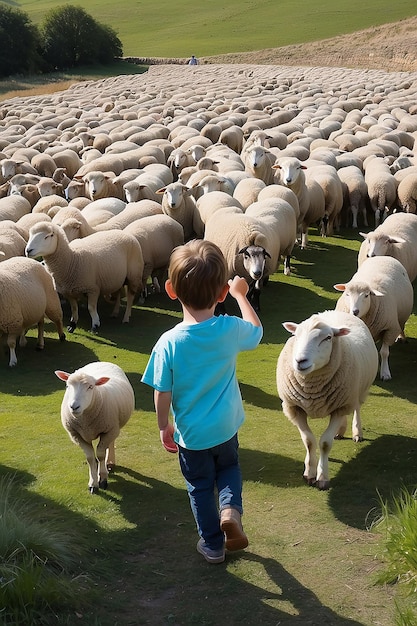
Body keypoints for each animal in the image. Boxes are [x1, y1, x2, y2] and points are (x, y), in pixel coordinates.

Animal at [54, 360, 133, 492]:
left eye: (90, 387)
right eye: (67, 386)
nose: (74, 407)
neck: (85, 421)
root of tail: (101, 362)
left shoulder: (109, 430)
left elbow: (100, 454)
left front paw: (103, 479)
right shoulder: (76, 435)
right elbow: (90, 458)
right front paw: (93, 483)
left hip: (113, 427)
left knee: (110, 444)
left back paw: (109, 462)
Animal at [276, 310, 376, 490]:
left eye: (328, 338)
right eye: (296, 335)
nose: (300, 361)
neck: (312, 388)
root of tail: (335, 312)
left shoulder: (341, 404)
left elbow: (324, 443)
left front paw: (322, 477)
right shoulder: (295, 408)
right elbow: (309, 441)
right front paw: (309, 473)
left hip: (357, 391)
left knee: (356, 408)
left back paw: (357, 432)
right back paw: (340, 431)